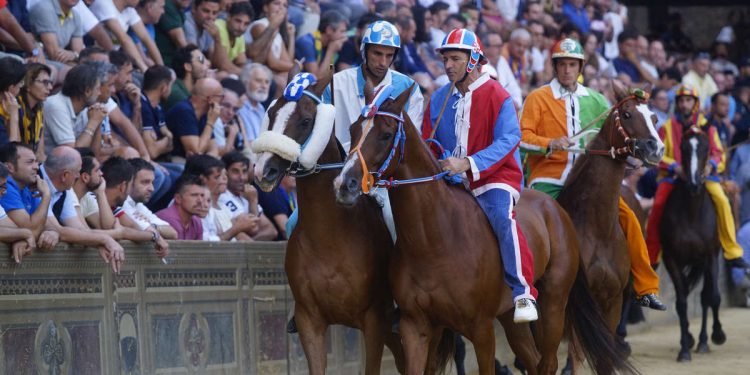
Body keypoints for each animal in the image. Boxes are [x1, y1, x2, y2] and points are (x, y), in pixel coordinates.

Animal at [251, 70, 406, 374]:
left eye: (305, 120)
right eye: (272, 113)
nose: (264, 170)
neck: (330, 237)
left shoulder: (375, 322)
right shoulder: (309, 320)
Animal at [334, 86, 636, 375]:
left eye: (385, 134)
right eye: (352, 130)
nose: (344, 184)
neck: (433, 239)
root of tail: (556, 209)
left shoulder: (481, 328)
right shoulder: (416, 325)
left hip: (554, 303)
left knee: (548, 361)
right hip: (511, 318)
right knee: (533, 359)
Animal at [560, 82, 668, 356]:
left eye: (654, 118)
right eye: (627, 114)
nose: (656, 148)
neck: (596, 228)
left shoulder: (612, 299)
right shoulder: (578, 303)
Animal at [664, 128, 728, 362]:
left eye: (705, 148)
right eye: (683, 148)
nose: (693, 183)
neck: (691, 213)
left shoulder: (710, 256)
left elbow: (713, 297)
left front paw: (718, 334)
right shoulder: (672, 259)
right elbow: (681, 302)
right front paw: (684, 348)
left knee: (705, 298)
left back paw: (703, 341)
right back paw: (693, 340)